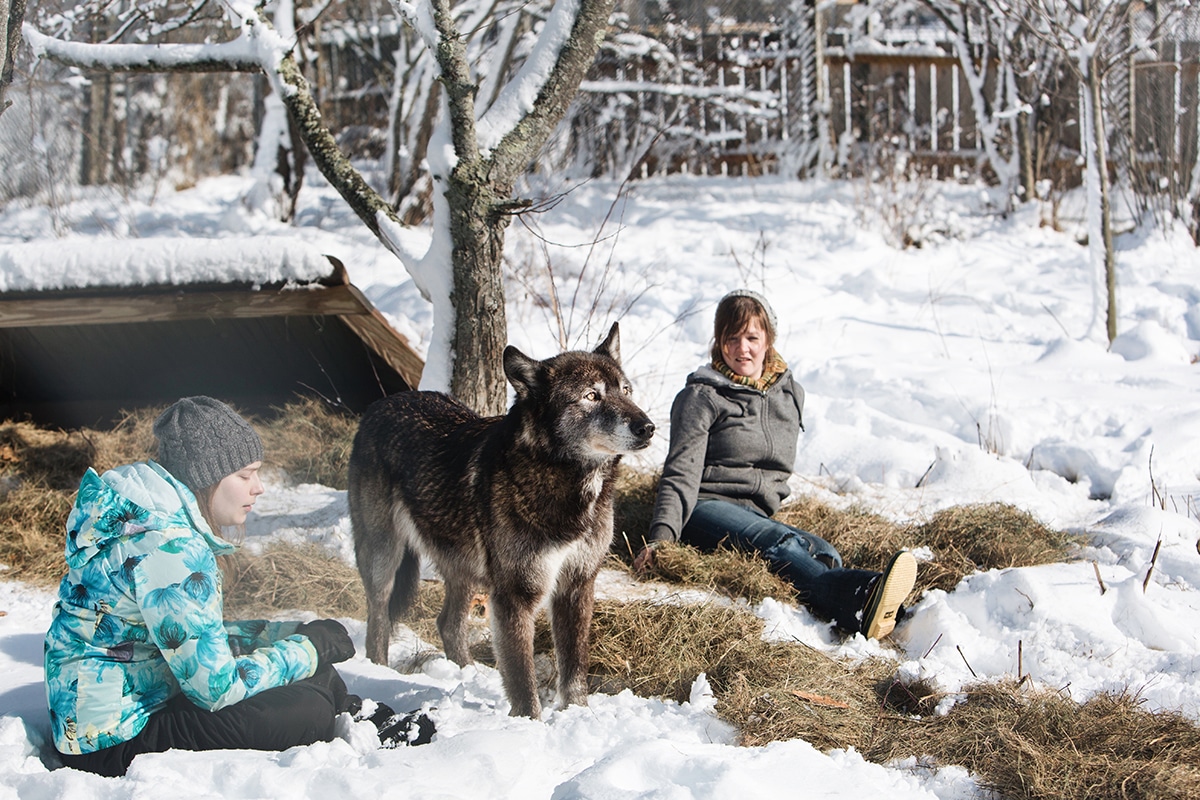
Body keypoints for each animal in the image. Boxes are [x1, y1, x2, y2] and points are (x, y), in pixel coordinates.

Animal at [348, 322, 655, 718]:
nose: (647, 427)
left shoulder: (576, 586)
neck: (565, 482)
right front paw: (529, 726)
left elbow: (574, 668)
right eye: (591, 396)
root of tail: (381, 405)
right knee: (379, 617)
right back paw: (379, 671)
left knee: (447, 624)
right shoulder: (514, 595)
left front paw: (576, 714)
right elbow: (522, 677)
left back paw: (467, 675)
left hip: (461, 567)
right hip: (384, 557)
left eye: (626, 390)